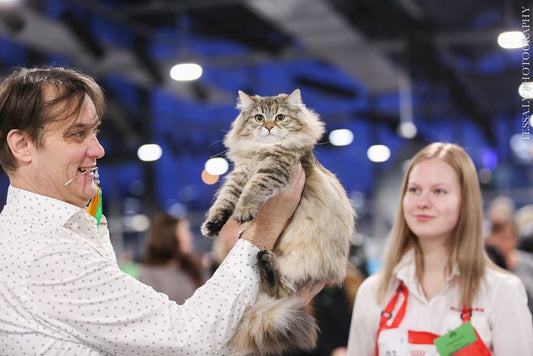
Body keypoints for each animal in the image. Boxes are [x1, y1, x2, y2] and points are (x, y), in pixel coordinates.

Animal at [202, 89, 356, 356]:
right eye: (259, 118)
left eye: (280, 117)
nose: (270, 127)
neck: (260, 152)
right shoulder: (240, 173)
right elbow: (225, 199)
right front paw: (213, 224)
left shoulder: (275, 167)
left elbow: (253, 190)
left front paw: (244, 211)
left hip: (296, 266)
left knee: (283, 291)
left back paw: (267, 264)